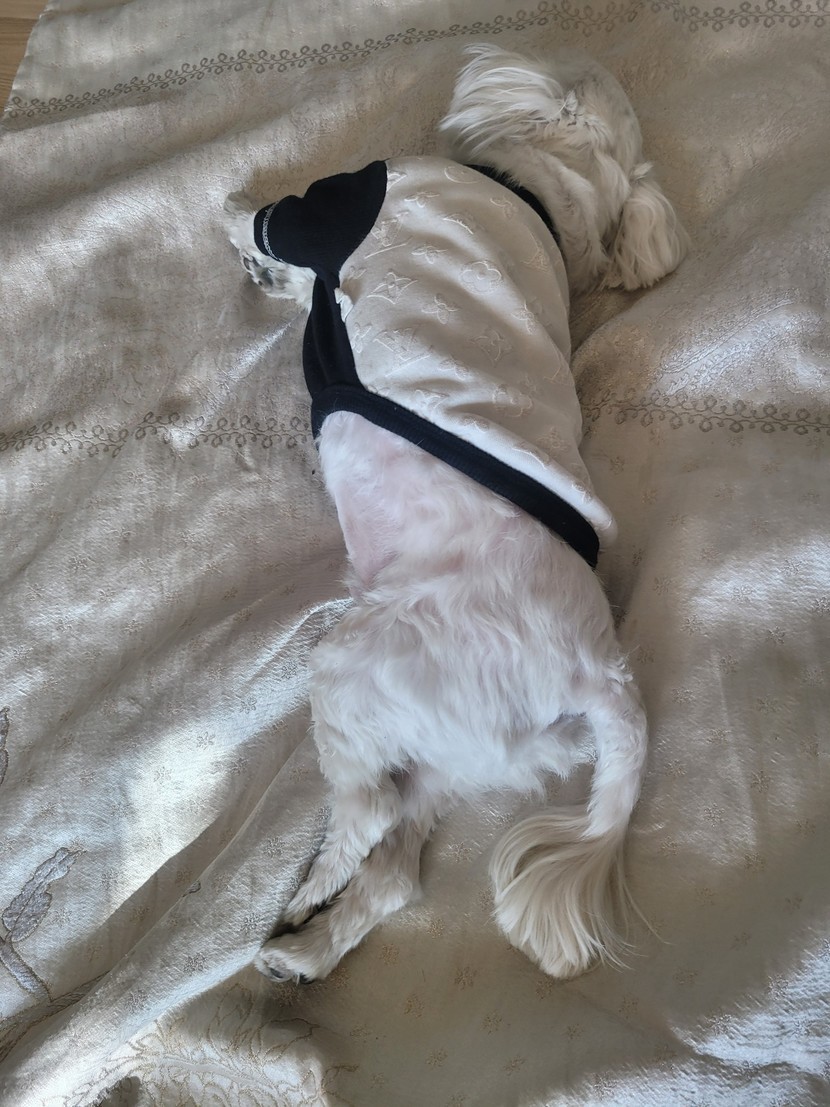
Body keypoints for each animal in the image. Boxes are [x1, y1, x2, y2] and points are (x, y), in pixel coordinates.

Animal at [223, 44, 687, 982]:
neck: (536, 195)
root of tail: (601, 673)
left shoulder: (341, 202)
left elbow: (270, 226)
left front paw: (243, 241)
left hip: (361, 665)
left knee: (366, 815)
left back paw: (309, 890)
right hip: (452, 748)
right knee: (395, 871)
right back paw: (310, 945)